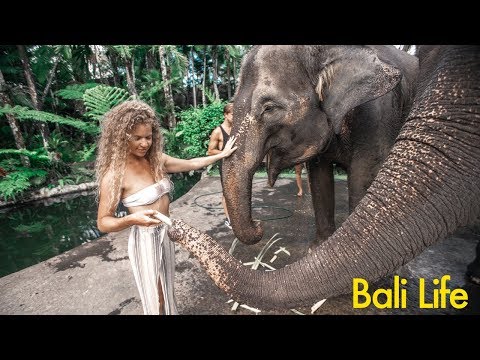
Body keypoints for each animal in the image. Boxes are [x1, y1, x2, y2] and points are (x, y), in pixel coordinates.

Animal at [219, 45, 418, 246]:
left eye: (269, 108)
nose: (260, 224)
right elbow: (319, 178)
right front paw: (319, 246)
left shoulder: (379, 113)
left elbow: (363, 177)